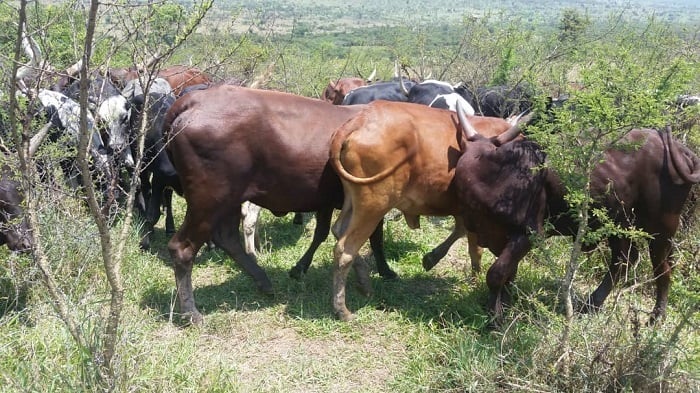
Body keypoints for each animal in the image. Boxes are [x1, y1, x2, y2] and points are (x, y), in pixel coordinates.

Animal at [161, 84, 396, 324]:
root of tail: (195, 99)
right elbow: (374, 238)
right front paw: (385, 271)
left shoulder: (330, 202)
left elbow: (327, 233)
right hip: (208, 200)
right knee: (183, 248)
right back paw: (191, 312)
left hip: (229, 200)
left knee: (227, 237)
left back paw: (263, 281)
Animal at [326, 99, 516, 320]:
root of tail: (363, 118)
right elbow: (474, 248)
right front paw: (474, 280)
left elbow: (463, 234)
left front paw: (432, 259)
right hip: (374, 205)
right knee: (344, 249)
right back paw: (342, 310)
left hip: (353, 200)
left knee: (338, 230)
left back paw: (364, 284)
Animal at [454, 103, 700, 322]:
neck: (496, 176)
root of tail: (683, 151)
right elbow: (508, 274)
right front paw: (502, 306)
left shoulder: (529, 234)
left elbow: (497, 274)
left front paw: (495, 318)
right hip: (619, 225)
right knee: (623, 261)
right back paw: (592, 304)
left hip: (662, 226)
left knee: (662, 269)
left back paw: (656, 317)